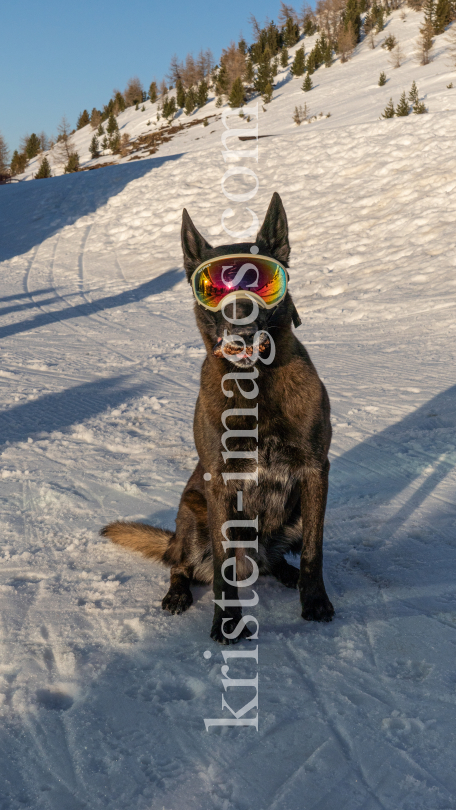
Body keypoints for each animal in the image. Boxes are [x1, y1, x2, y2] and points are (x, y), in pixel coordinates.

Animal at [101, 191, 334, 644]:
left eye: (260, 280)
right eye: (213, 287)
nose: (240, 328)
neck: (255, 386)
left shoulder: (316, 472)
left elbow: (314, 552)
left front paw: (314, 600)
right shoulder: (221, 486)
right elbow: (224, 578)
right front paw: (227, 621)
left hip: (292, 515)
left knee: (273, 561)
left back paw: (286, 573)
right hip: (193, 516)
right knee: (181, 565)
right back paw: (178, 593)